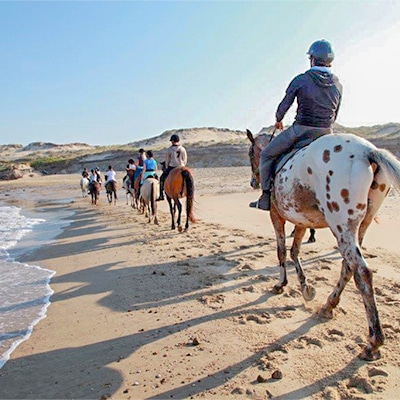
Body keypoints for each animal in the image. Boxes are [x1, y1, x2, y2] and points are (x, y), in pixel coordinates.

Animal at [245, 130, 400, 360]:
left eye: (250, 153)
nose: (253, 182)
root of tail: (367, 151)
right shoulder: (302, 221)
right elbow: (294, 251)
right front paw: (305, 287)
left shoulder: (276, 216)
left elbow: (282, 252)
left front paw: (281, 284)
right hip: (361, 225)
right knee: (348, 267)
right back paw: (328, 306)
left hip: (341, 226)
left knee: (362, 272)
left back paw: (374, 341)